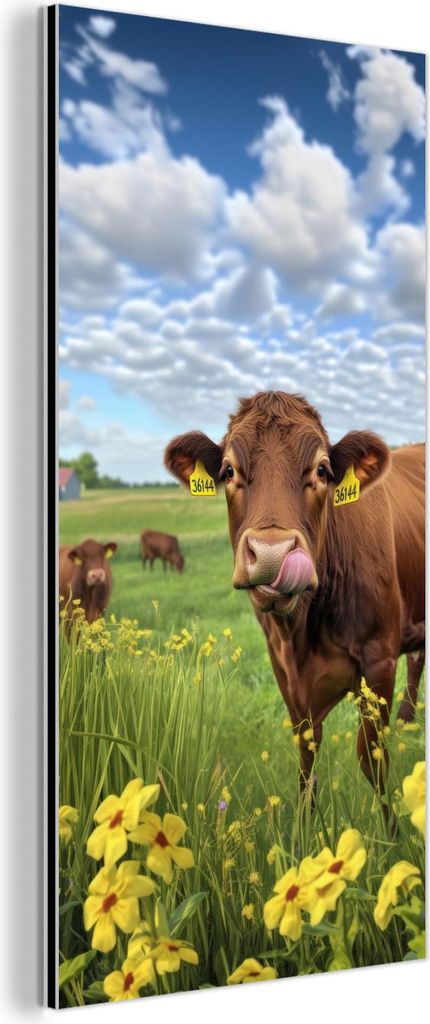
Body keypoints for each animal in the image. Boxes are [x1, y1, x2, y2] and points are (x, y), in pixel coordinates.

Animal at [165, 391, 424, 805]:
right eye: (228, 471)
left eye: (322, 470)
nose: (272, 554)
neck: (301, 632)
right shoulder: (284, 667)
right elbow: (307, 755)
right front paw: (305, 818)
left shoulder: (380, 656)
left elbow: (372, 758)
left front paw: (391, 822)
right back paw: (406, 723)